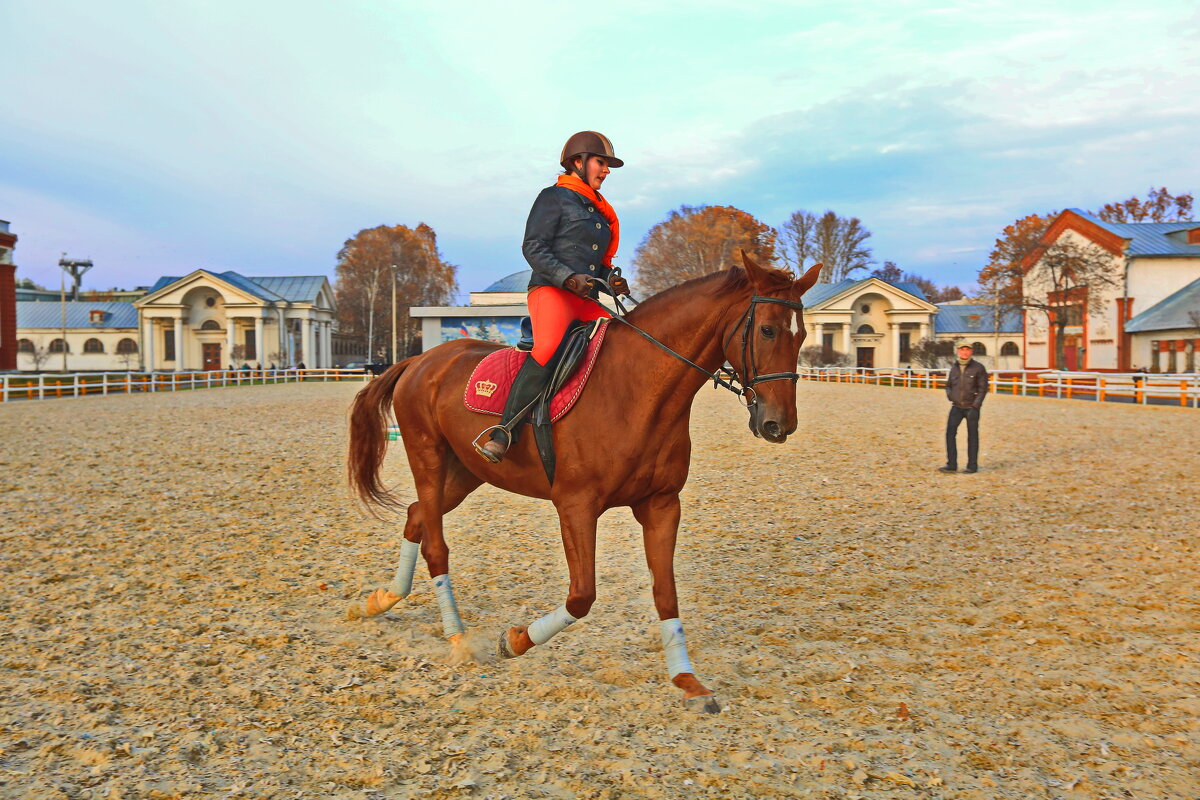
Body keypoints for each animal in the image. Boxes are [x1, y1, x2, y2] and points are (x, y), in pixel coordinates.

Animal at [343, 255, 820, 714]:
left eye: (801, 337)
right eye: (767, 329)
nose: (779, 424)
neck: (639, 389)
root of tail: (420, 361)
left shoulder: (662, 505)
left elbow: (665, 594)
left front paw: (689, 683)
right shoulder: (575, 505)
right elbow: (581, 596)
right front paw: (514, 641)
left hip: (466, 473)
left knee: (416, 517)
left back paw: (382, 600)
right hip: (428, 459)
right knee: (436, 544)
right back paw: (458, 639)